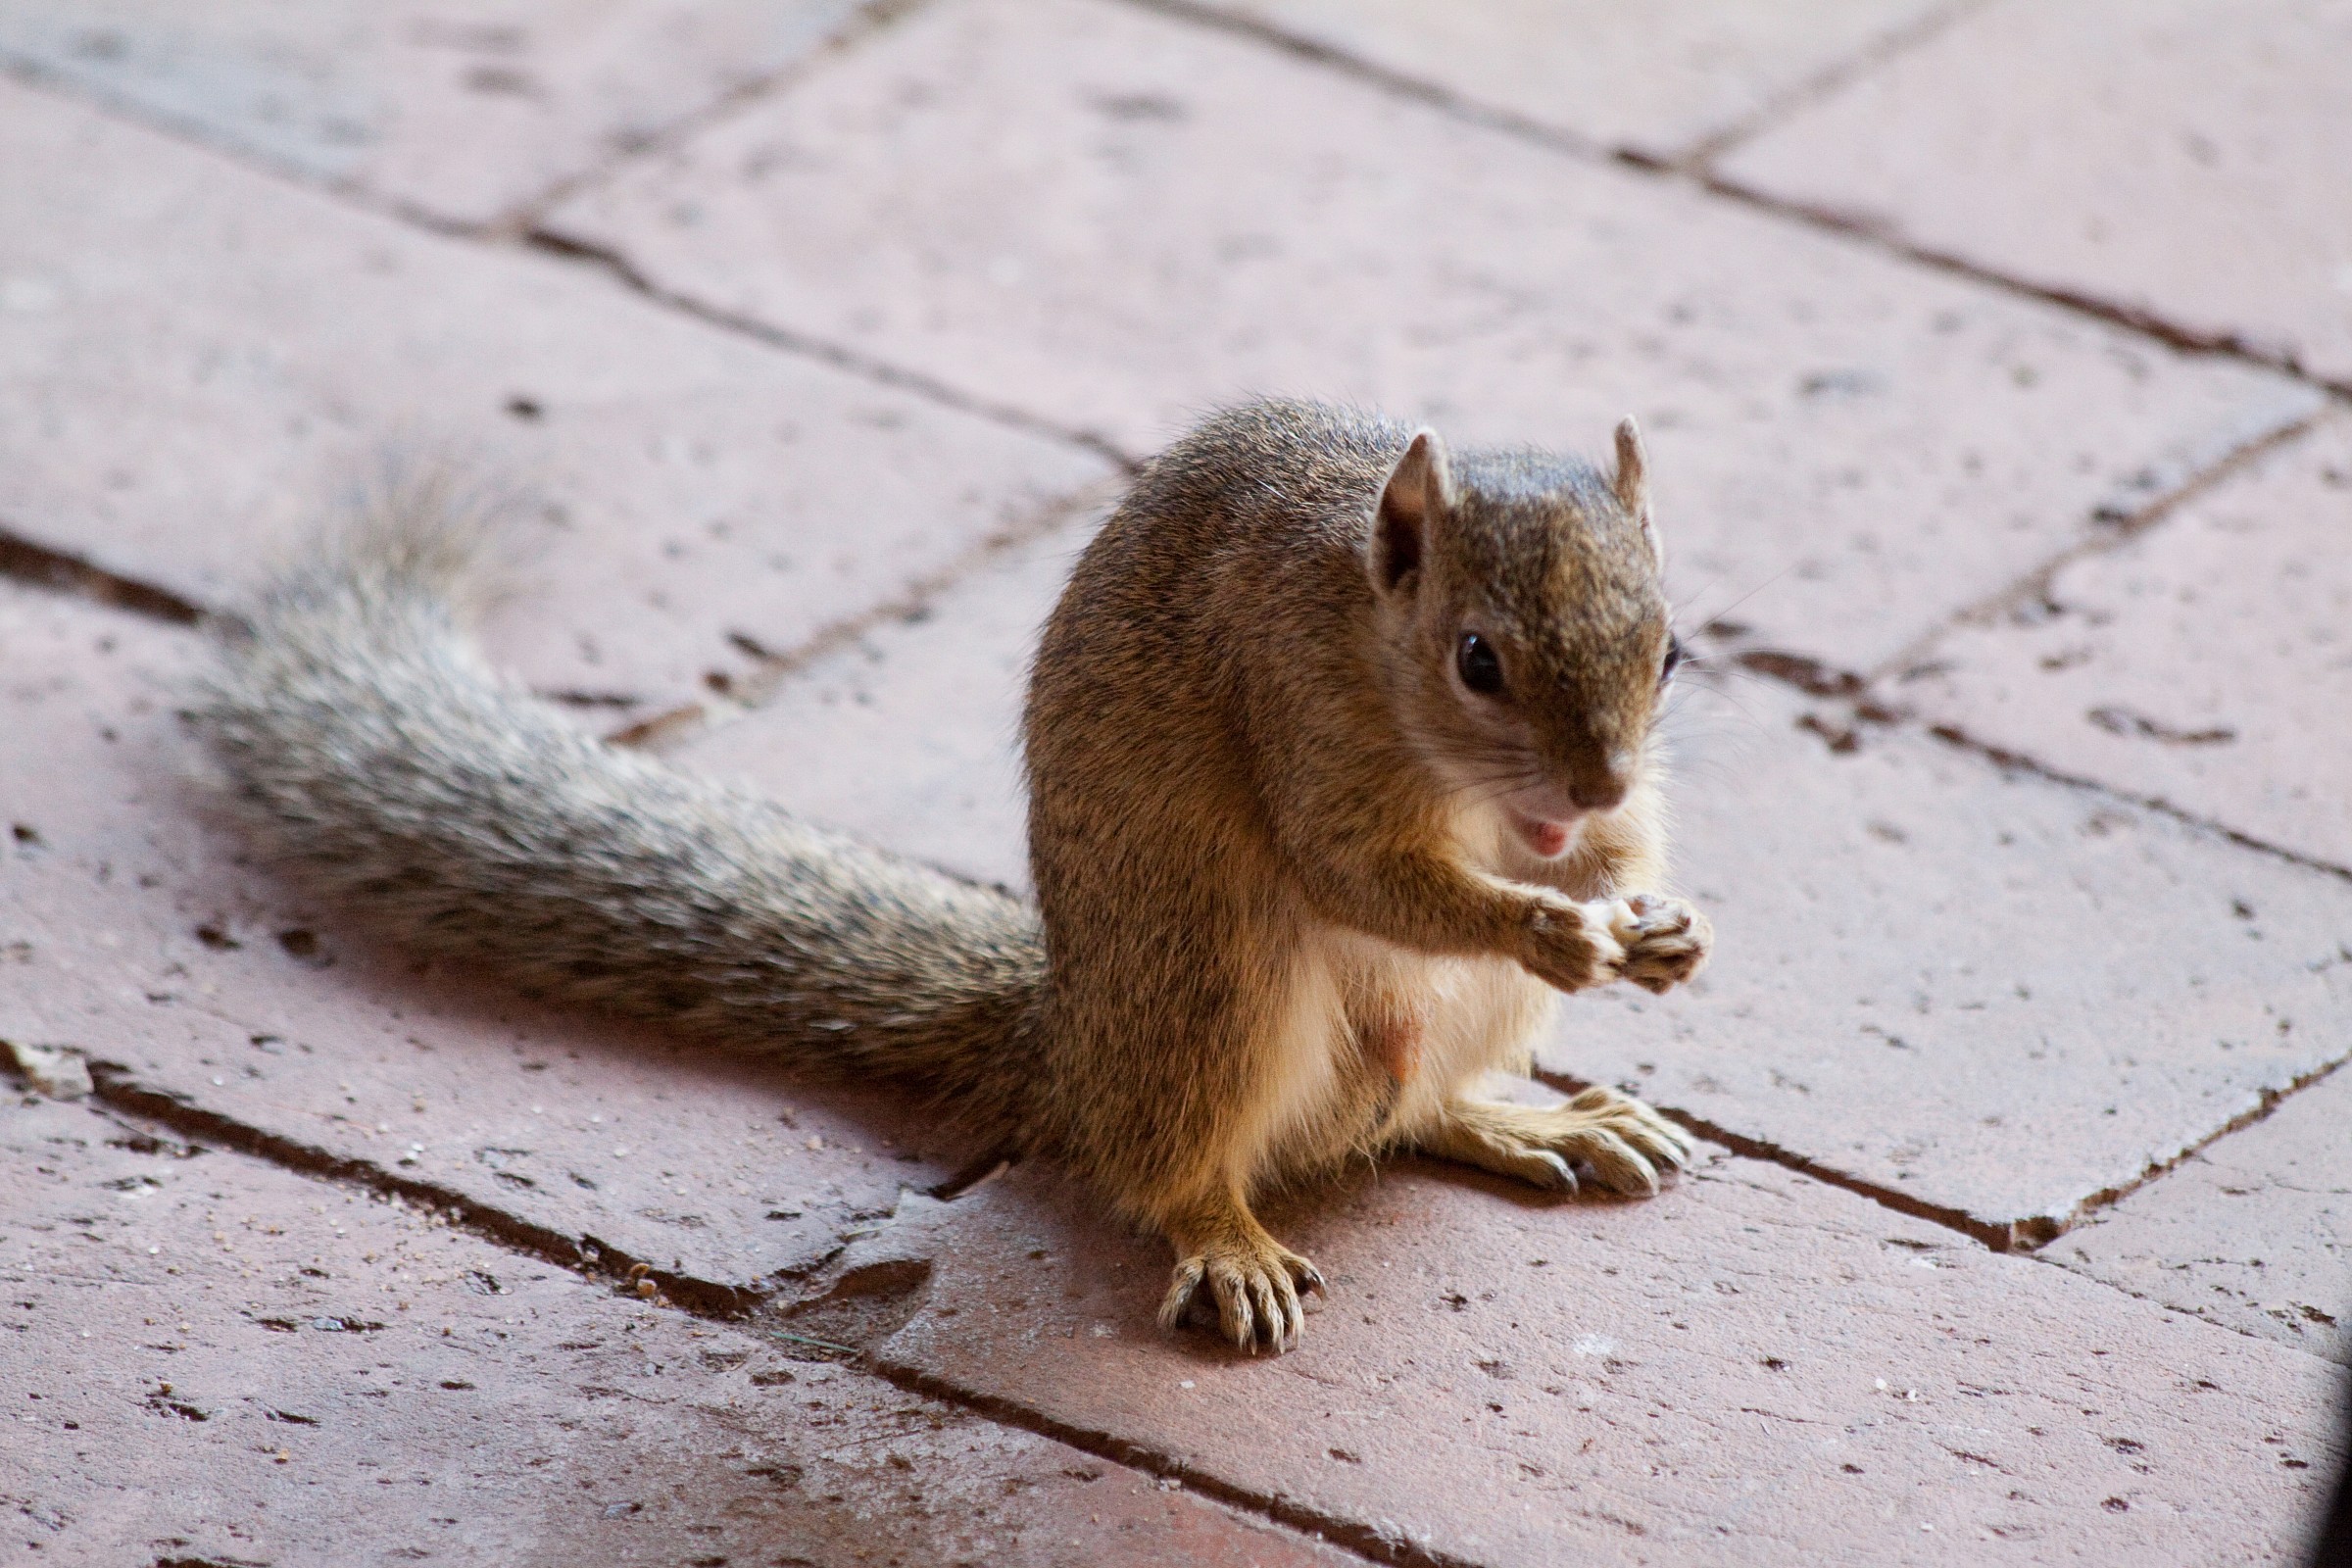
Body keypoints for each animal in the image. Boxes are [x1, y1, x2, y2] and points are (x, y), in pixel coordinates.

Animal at [197, 398, 1711, 1355]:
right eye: (1478, 659)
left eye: (1672, 650)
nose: (1595, 789)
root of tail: (1070, 1048)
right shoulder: (1298, 713)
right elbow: (1356, 871)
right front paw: (1552, 927)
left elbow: (1621, 866)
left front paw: (1658, 921)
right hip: (1211, 986)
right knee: (1171, 1163)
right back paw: (1227, 1236)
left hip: (1423, 1026)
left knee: (1403, 1114)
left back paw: (1528, 1117)